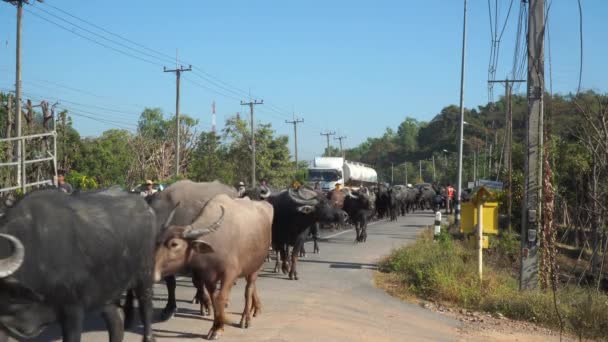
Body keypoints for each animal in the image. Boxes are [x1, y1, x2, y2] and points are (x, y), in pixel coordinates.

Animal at [0, 188, 159, 342]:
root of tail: (146, 206)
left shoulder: (73, 310)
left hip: (144, 276)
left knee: (146, 307)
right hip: (107, 293)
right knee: (116, 319)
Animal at [154, 194, 274, 340]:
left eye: (174, 244)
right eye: (157, 241)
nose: (152, 272)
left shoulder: (230, 274)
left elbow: (221, 298)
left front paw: (220, 326)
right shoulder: (208, 277)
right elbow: (214, 298)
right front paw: (217, 325)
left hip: (256, 266)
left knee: (249, 289)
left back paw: (246, 318)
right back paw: (256, 308)